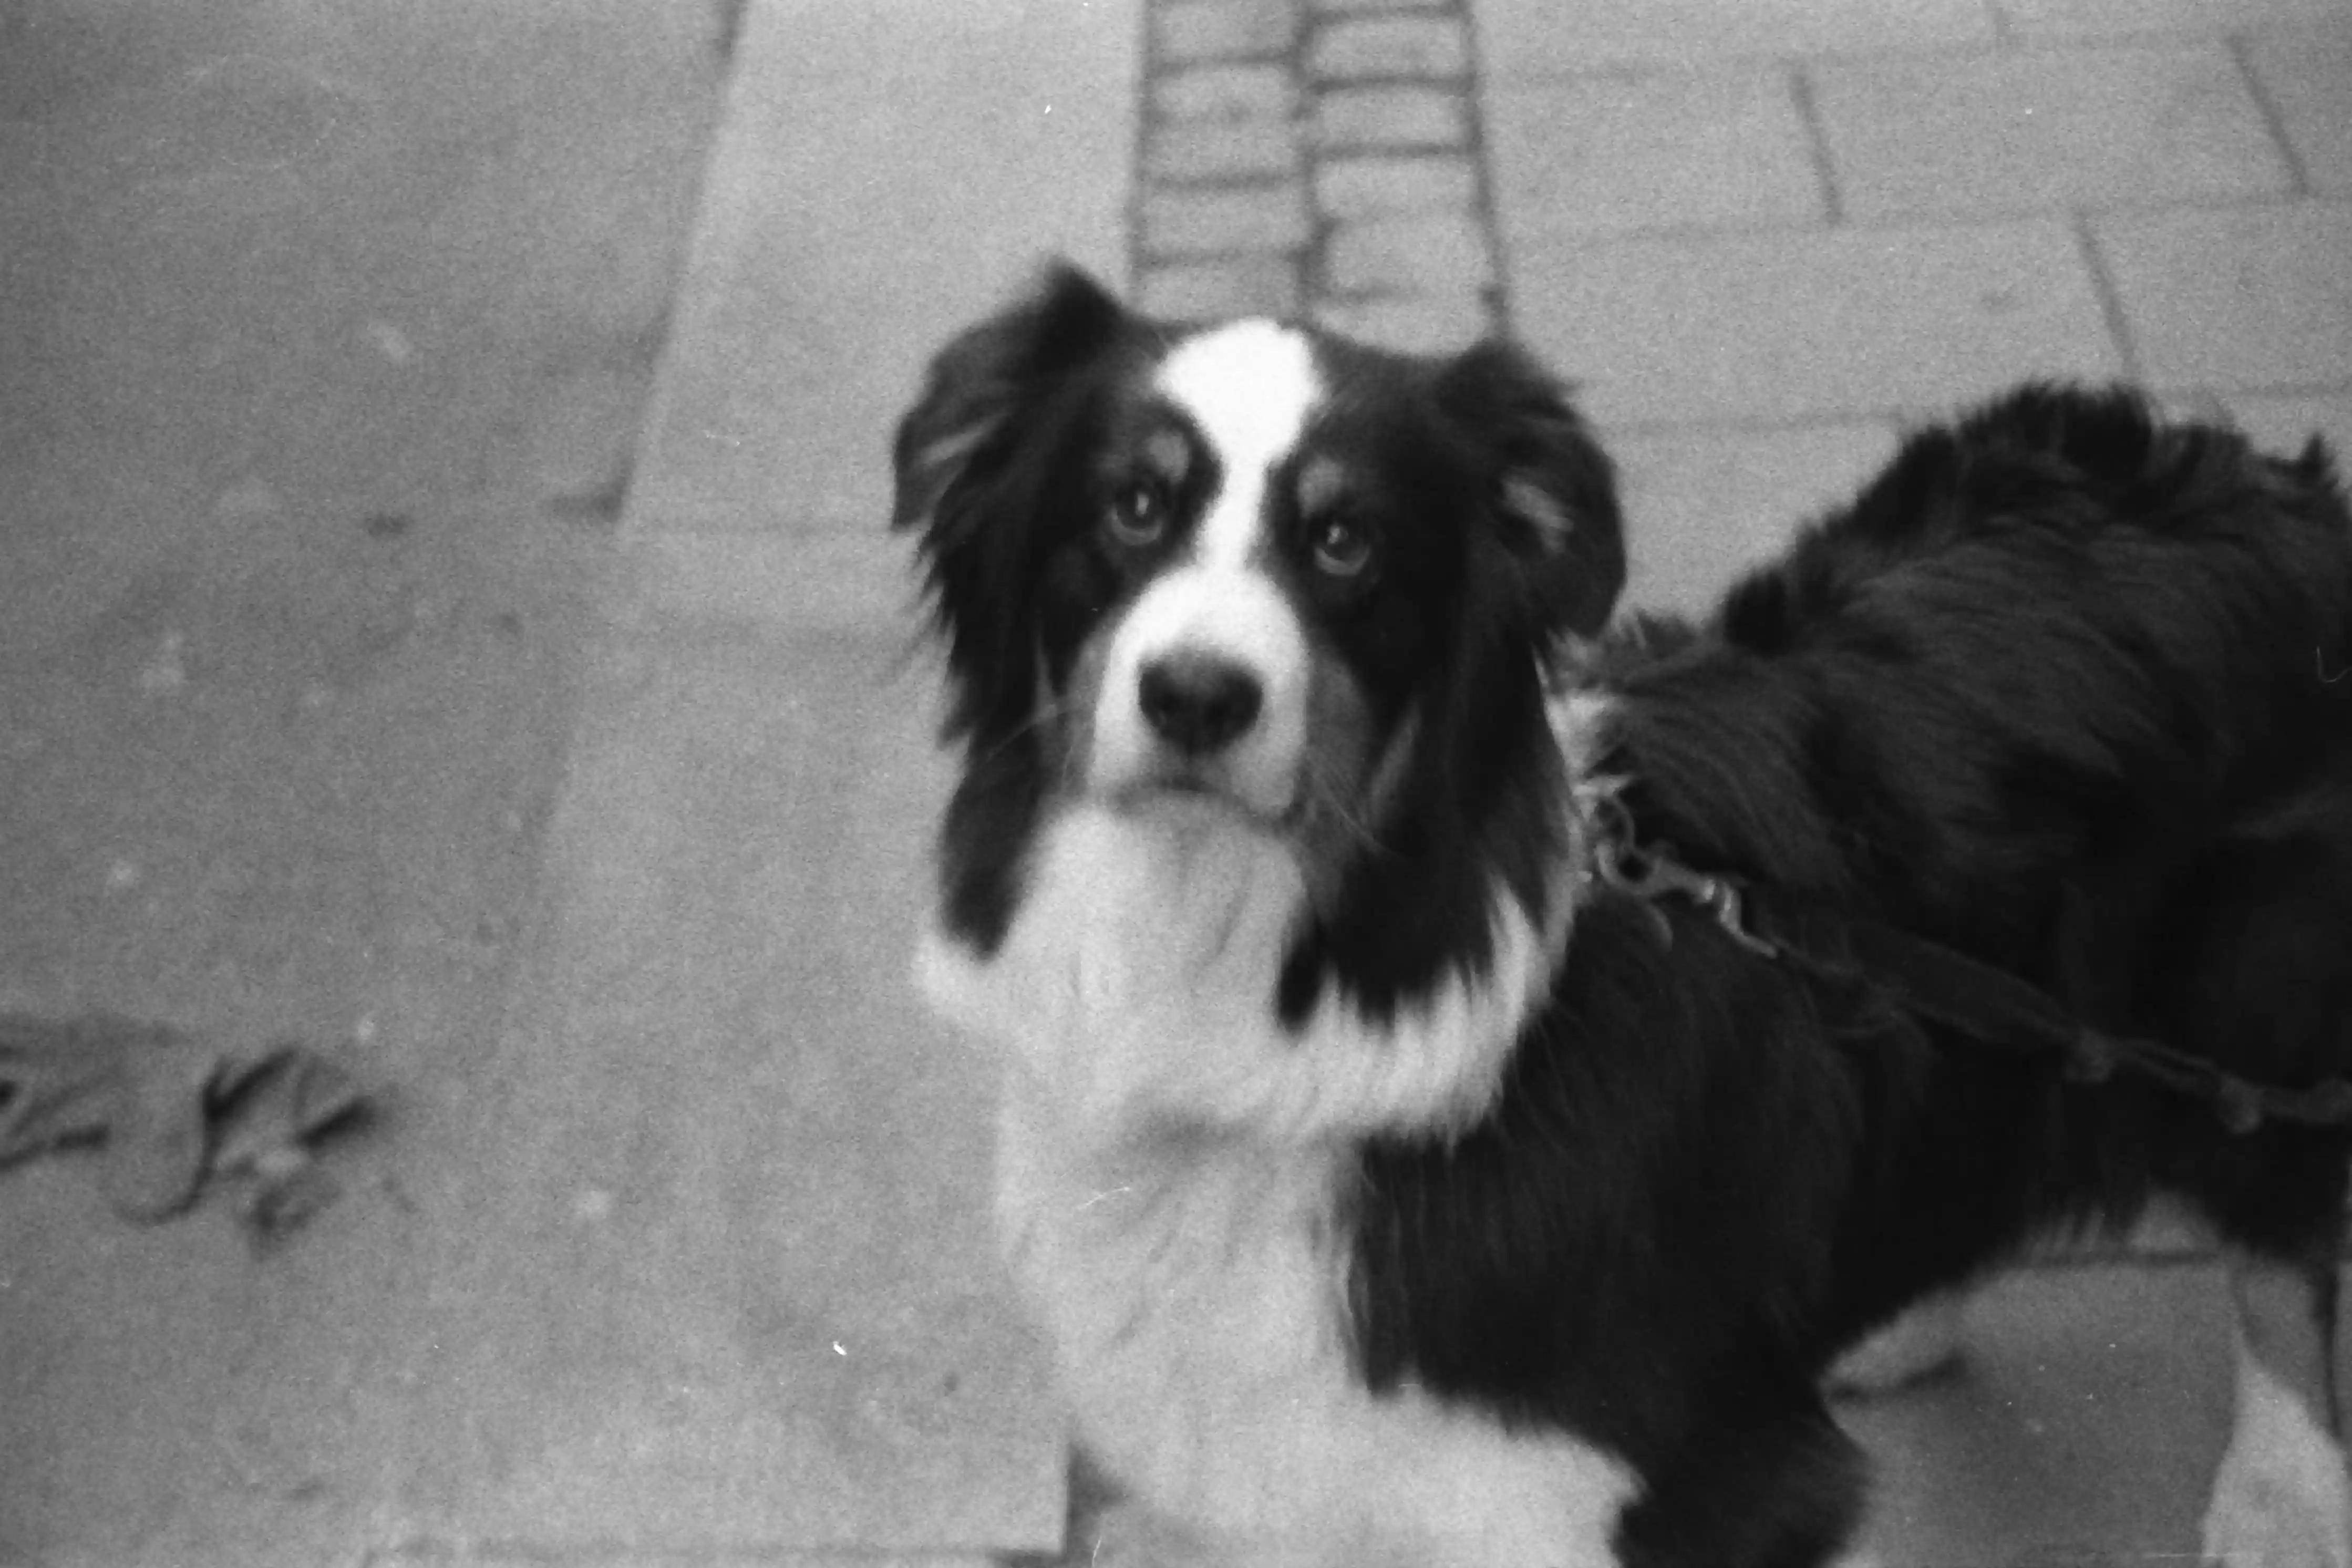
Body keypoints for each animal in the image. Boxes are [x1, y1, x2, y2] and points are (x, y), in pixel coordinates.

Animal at [884, 263, 2352, 1561]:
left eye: (1346, 541)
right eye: (1130, 506)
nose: (1196, 695)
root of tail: (2278, 487)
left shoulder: (1697, 1483)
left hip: (2255, 1021)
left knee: (2289, 1254)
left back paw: (2279, 1513)